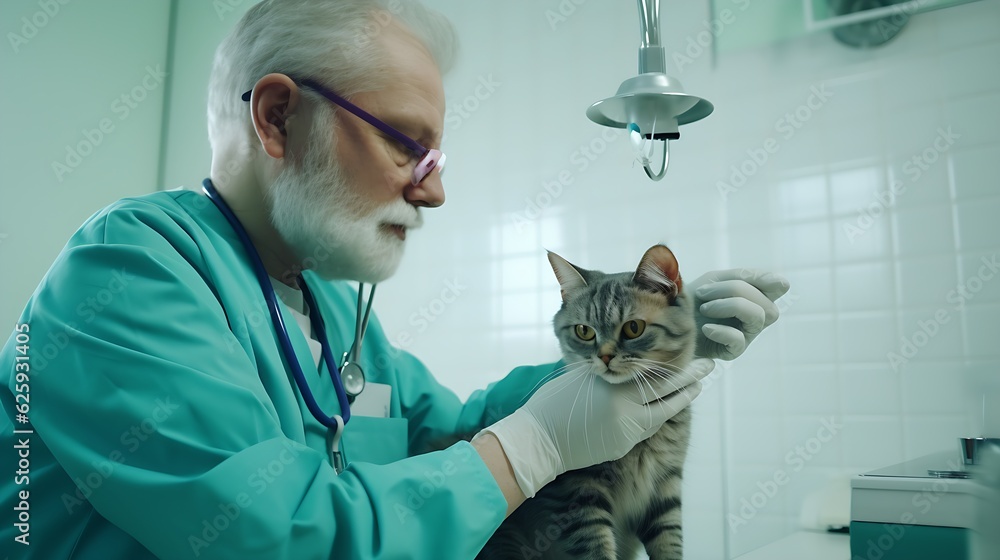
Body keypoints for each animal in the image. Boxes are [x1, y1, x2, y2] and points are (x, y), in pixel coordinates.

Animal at [480, 244, 700, 560]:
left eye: (633, 328)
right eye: (584, 331)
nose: (605, 356)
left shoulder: (665, 487)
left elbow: (669, 540)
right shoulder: (578, 495)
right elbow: (595, 548)